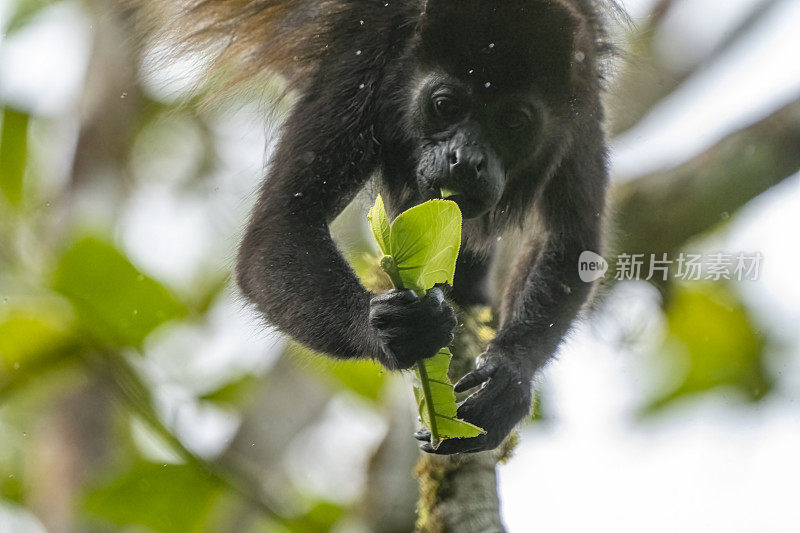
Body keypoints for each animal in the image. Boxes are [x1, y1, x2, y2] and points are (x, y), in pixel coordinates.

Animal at [159, 0, 616, 454]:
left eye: (514, 121)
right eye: (445, 106)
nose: (465, 160)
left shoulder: (582, 84)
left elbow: (571, 241)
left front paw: (509, 374)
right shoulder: (361, 58)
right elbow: (279, 229)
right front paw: (387, 330)